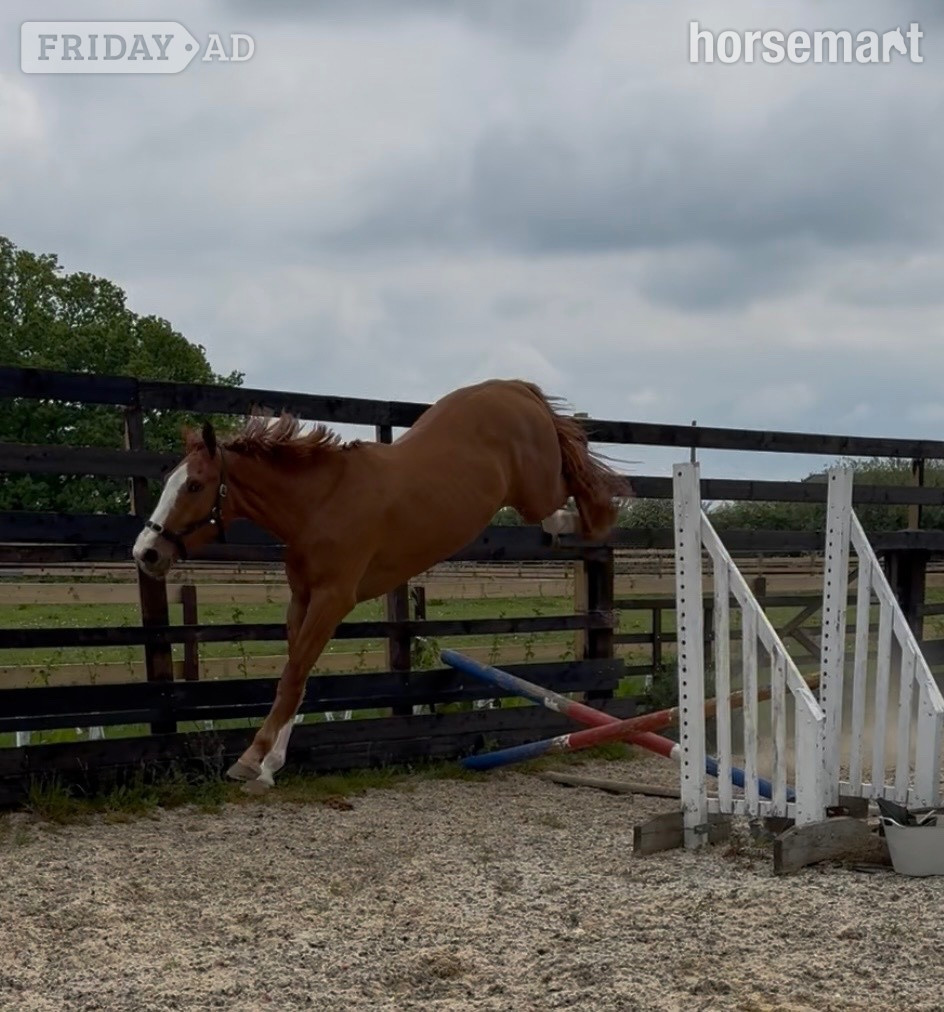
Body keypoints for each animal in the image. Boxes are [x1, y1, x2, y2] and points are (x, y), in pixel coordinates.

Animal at [132, 378, 630, 791]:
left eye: (194, 485)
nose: (145, 553)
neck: (320, 502)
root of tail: (514, 387)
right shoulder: (302, 598)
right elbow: (296, 674)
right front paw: (270, 765)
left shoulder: (333, 599)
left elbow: (292, 676)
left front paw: (251, 760)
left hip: (534, 490)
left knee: (580, 495)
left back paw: (590, 516)